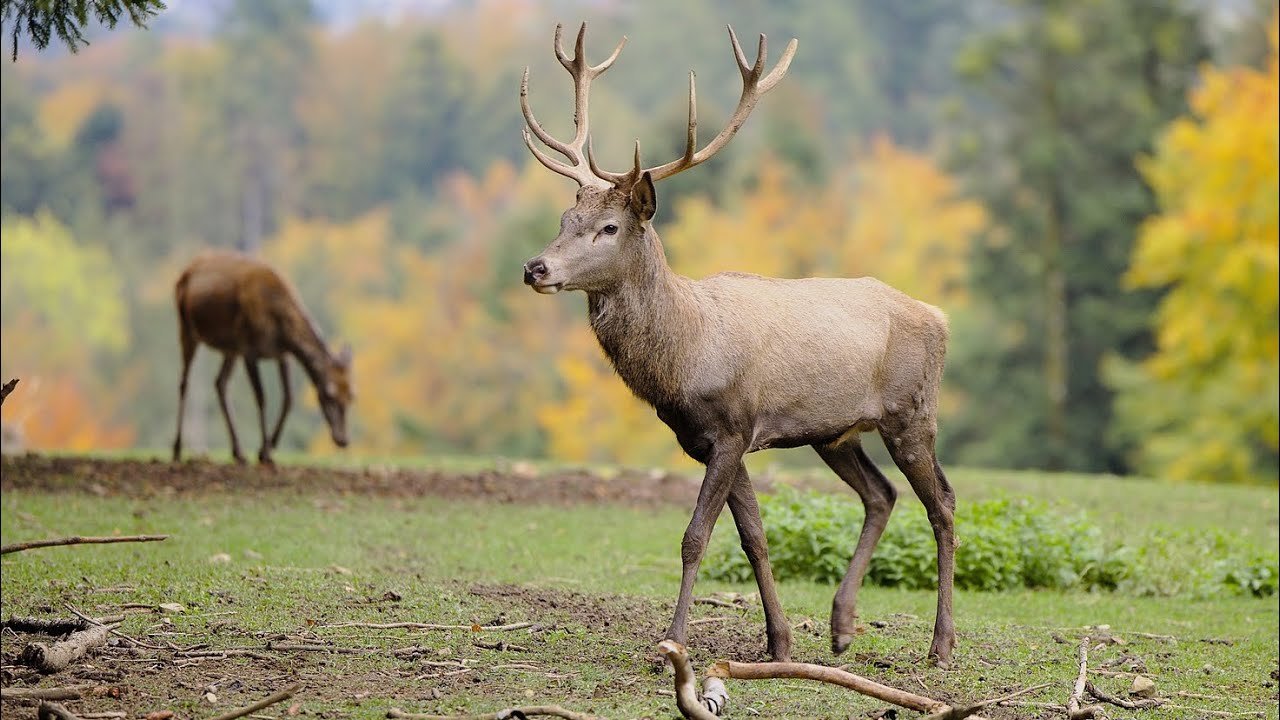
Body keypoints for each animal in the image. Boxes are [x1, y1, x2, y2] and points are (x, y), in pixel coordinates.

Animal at [172, 251, 353, 466]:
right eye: (328, 395)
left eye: (351, 396)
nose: (343, 439)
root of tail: (187, 269)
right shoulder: (249, 349)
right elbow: (261, 397)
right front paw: (264, 452)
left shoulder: (282, 355)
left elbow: (288, 398)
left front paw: (268, 447)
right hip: (187, 327)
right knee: (184, 383)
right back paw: (177, 449)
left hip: (231, 348)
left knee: (220, 382)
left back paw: (238, 452)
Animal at [519, 24, 957, 667]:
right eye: (563, 219)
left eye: (609, 228)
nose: (535, 267)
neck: (685, 357)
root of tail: (939, 316)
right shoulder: (715, 440)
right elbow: (754, 537)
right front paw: (779, 642)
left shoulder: (732, 427)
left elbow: (694, 537)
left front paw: (673, 641)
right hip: (834, 432)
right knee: (881, 495)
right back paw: (841, 626)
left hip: (912, 411)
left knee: (942, 503)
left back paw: (941, 644)